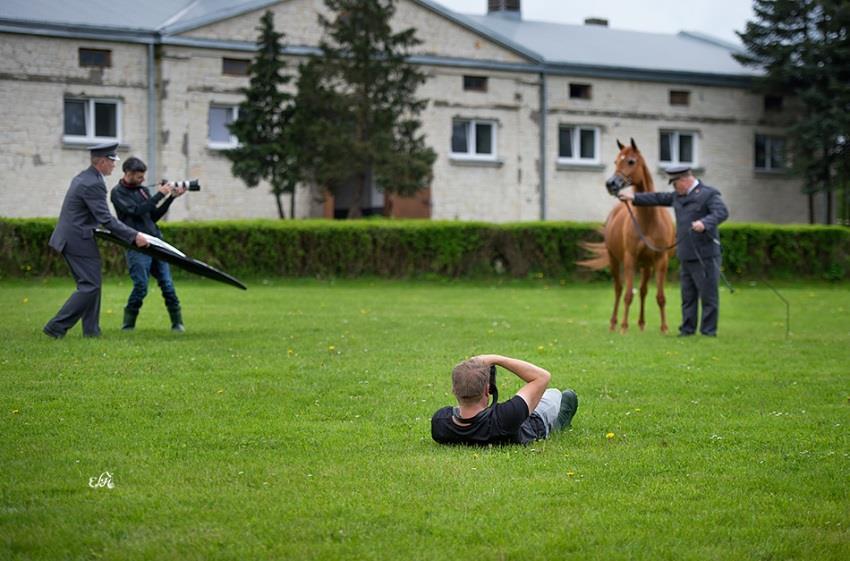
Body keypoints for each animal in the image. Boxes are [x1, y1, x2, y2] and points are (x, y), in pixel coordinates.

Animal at [580, 139, 672, 330]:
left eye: (631, 161)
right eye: (616, 162)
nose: (611, 184)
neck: (648, 221)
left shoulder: (661, 261)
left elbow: (660, 296)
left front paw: (664, 329)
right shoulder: (630, 259)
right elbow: (628, 294)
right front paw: (623, 327)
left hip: (646, 265)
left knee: (643, 290)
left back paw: (642, 324)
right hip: (615, 260)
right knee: (618, 289)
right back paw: (614, 324)